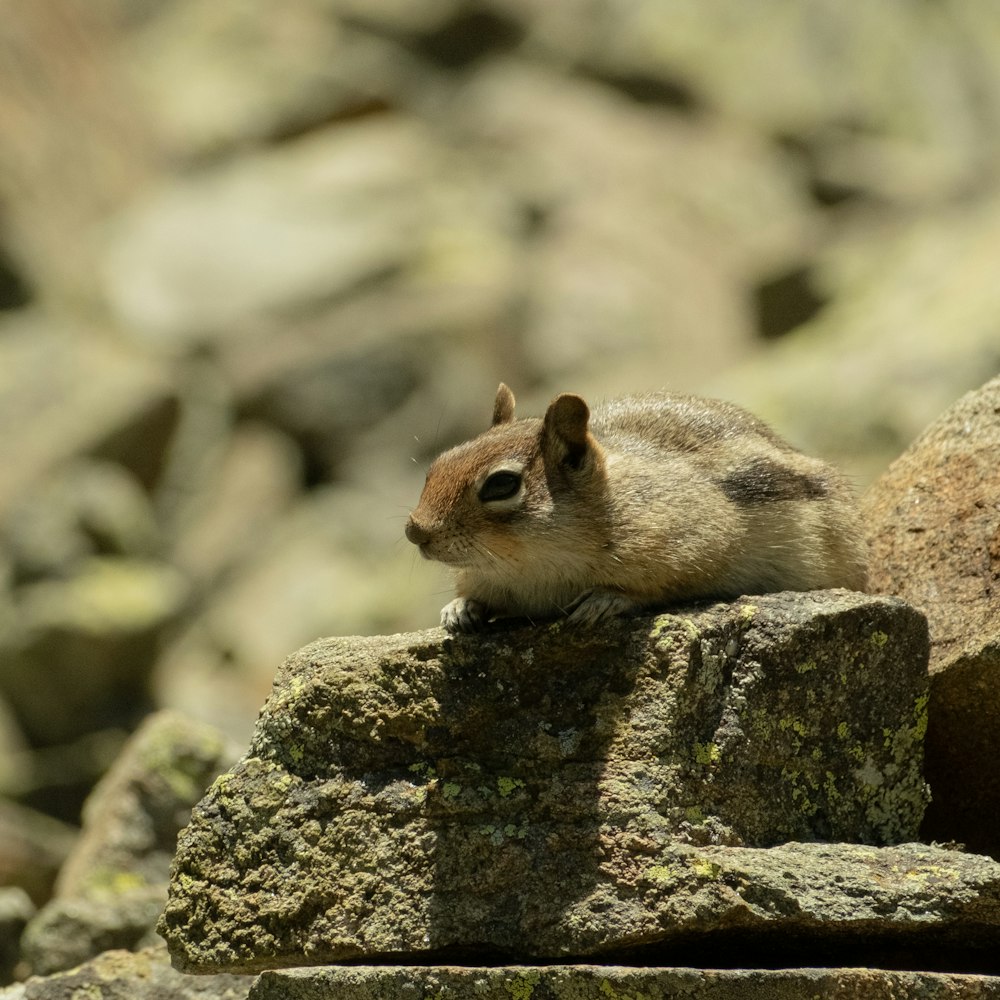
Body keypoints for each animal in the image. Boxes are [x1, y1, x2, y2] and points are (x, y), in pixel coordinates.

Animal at [406, 382, 868, 632]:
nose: (415, 531)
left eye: (502, 484)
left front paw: (605, 601)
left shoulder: (698, 541)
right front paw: (460, 608)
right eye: (439, 462)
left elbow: (663, 584)